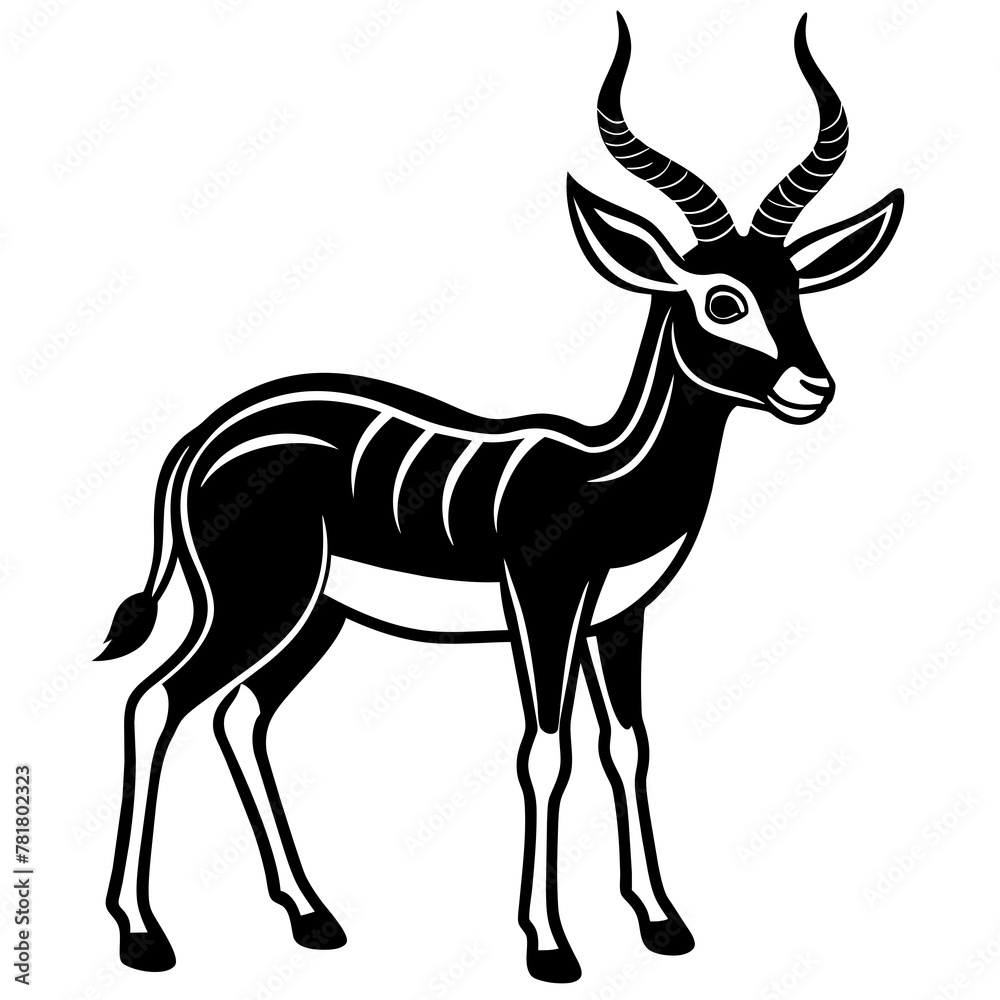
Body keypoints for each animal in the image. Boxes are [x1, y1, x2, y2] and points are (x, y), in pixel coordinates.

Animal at [97, 12, 902, 984]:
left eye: (796, 291)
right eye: (722, 300)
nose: (811, 388)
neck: (608, 474)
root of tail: (203, 438)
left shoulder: (617, 619)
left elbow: (627, 747)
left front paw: (662, 923)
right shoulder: (545, 604)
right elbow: (546, 753)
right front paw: (550, 946)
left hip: (314, 616)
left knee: (239, 719)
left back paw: (313, 917)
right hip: (257, 601)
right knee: (158, 701)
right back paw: (142, 933)